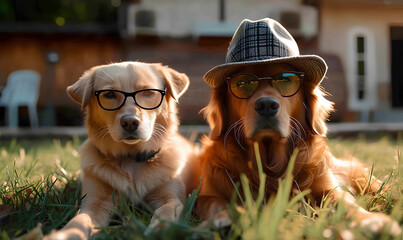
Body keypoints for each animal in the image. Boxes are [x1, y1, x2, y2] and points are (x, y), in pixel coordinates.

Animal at [47, 61, 196, 238]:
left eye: (148, 92)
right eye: (110, 94)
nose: (130, 122)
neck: (132, 157)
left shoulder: (173, 199)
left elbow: (165, 212)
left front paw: (158, 231)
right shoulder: (94, 204)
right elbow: (78, 221)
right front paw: (64, 234)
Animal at [195, 63, 400, 234]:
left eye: (285, 80)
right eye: (243, 82)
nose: (266, 105)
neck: (270, 168)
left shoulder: (328, 189)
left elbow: (347, 204)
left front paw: (371, 220)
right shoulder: (209, 192)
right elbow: (215, 204)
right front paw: (225, 218)